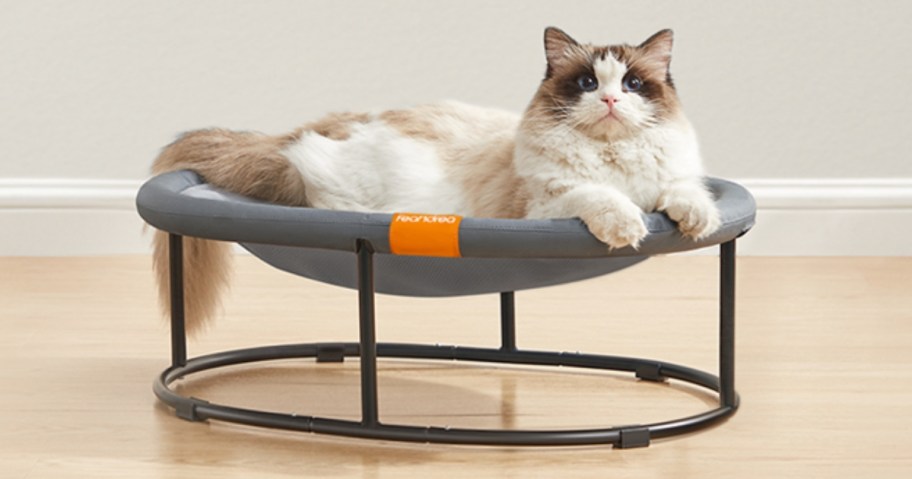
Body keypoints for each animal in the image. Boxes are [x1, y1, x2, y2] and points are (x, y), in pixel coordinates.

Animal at [151, 26, 720, 334]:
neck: (612, 155)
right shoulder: (547, 202)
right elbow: (603, 198)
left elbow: (687, 193)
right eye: (585, 82)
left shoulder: (672, 177)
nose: (610, 100)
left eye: (632, 84)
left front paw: (697, 221)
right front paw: (628, 227)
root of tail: (304, 132)